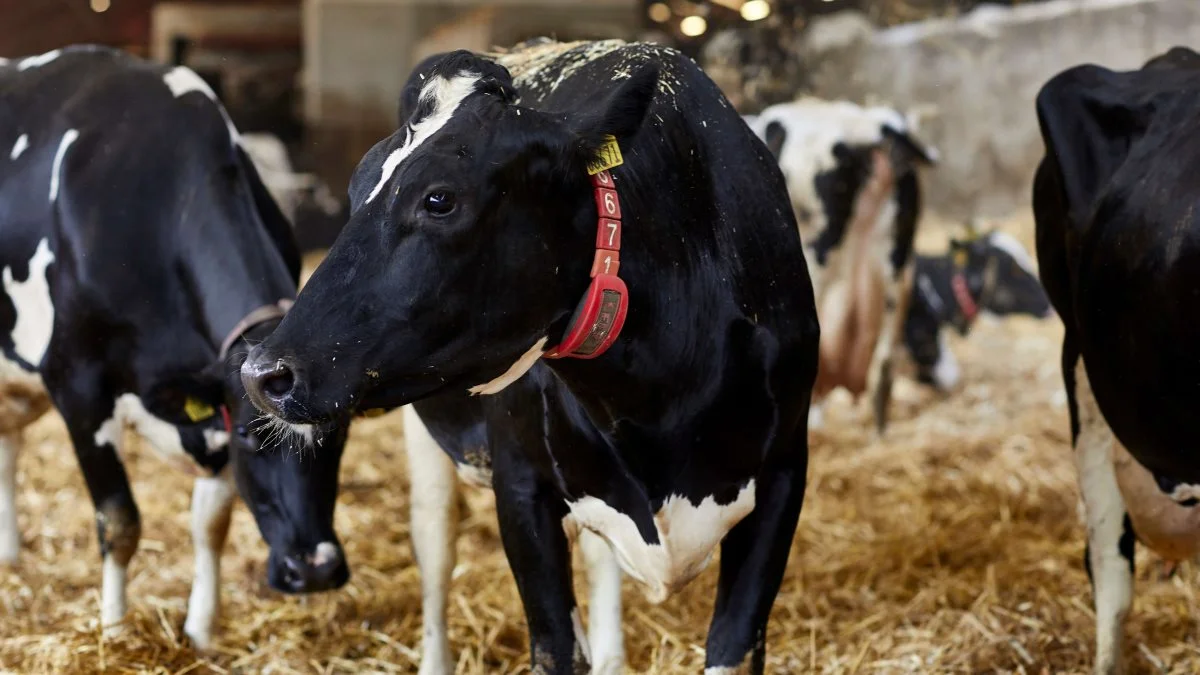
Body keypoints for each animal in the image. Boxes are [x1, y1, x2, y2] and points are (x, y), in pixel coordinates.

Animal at [1, 45, 350, 648]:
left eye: (338, 441)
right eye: (253, 443)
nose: (315, 571)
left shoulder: (213, 404)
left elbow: (211, 525)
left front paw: (202, 630)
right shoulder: (78, 384)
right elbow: (120, 522)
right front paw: (115, 631)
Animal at [243, 38, 825, 672]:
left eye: (439, 199)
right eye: (354, 191)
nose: (262, 372)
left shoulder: (784, 476)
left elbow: (730, 647)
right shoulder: (521, 489)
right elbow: (554, 647)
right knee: (435, 547)